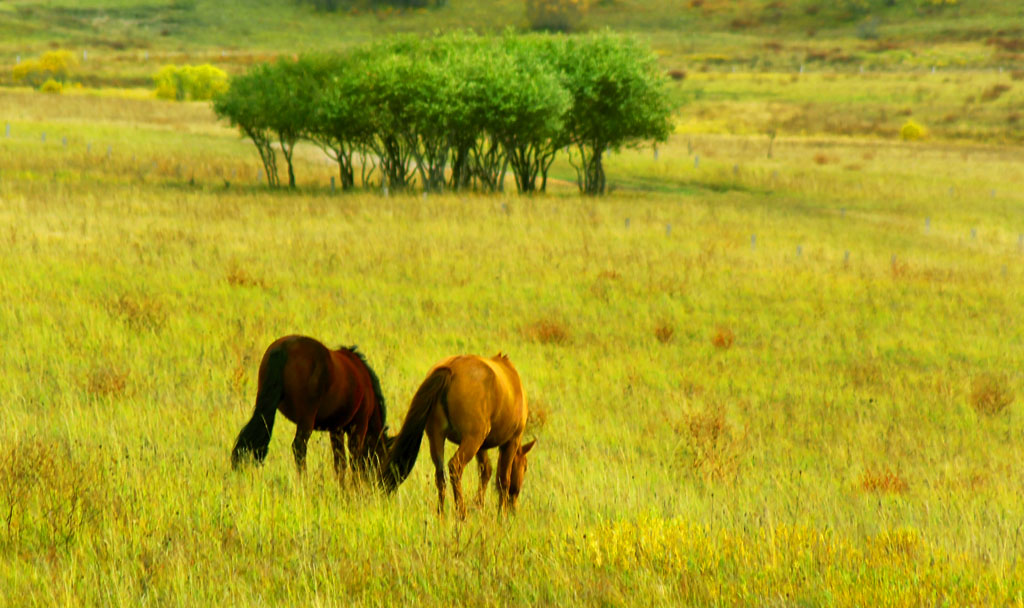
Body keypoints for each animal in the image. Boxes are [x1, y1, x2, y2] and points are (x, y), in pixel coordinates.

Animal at [230, 331, 389, 479]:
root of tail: (284, 348)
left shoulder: (336, 429)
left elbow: (340, 463)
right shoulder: (359, 425)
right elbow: (355, 462)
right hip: (307, 419)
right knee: (299, 447)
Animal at [382, 350, 536, 515]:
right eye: (525, 467)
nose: (514, 505)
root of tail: (451, 368)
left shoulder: (482, 446)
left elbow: (486, 471)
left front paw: (478, 505)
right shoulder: (511, 441)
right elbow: (503, 480)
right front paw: (502, 514)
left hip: (437, 437)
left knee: (440, 476)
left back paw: (441, 514)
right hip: (471, 440)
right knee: (455, 467)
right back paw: (461, 513)